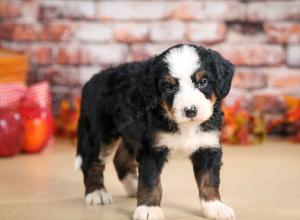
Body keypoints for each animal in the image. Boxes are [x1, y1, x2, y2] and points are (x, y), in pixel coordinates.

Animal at [74, 43, 234, 219]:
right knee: (92, 162)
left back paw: (133, 186)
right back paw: (97, 193)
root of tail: (91, 81)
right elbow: (150, 181)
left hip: (131, 132)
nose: (190, 110)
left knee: (121, 159)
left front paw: (215, 206)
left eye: (203, 82)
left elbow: (209, 179)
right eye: (170, 87)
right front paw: (148, 208)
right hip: (102, 133)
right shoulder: (152, 148)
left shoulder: (208, 146)